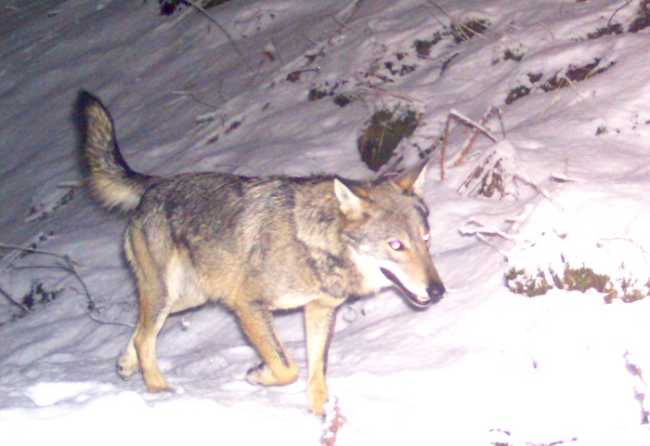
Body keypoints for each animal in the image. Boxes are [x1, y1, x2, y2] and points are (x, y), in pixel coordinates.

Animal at [79, 91, 446, 415]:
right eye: (396, 245)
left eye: (426, 239)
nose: (438, 291)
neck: (312, 244)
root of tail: (154, 183)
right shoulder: (246, 305)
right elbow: (287, 368)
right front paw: (258, 374)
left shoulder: (319, 311)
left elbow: (316, 376)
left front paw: (319, 419)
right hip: (172, 294)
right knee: (145, 338)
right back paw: (160, 394)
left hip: (190, 297)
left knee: (139, 330)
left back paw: (125, 365)